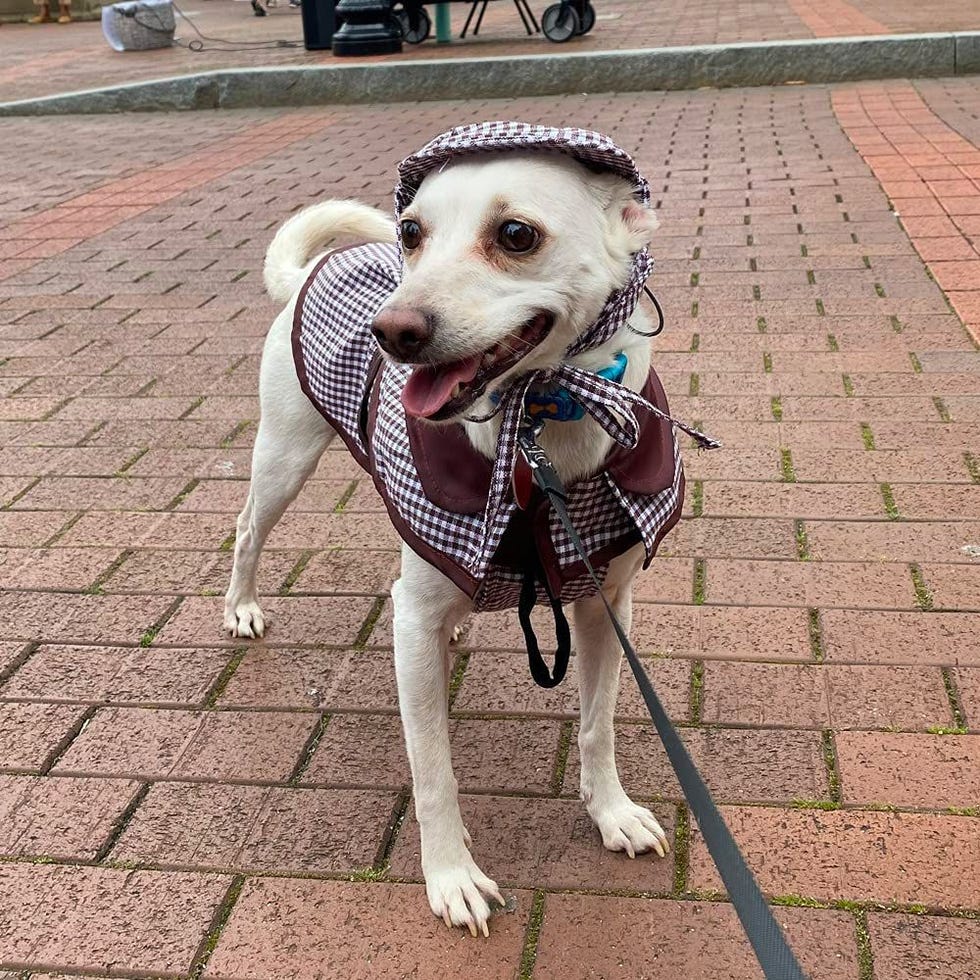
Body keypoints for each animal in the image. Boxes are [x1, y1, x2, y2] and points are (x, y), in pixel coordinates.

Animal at [224, 122, 680, 936]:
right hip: (284, 456)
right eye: (411, 231)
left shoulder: (606, 607)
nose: (391, 332)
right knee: (248, 529)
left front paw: (612, 812)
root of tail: (318, 265)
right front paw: (451, 875)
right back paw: (241, 606)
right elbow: (432, 768)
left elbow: (597, 724)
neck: (540, 421)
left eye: (516, 234)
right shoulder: (412, 622)